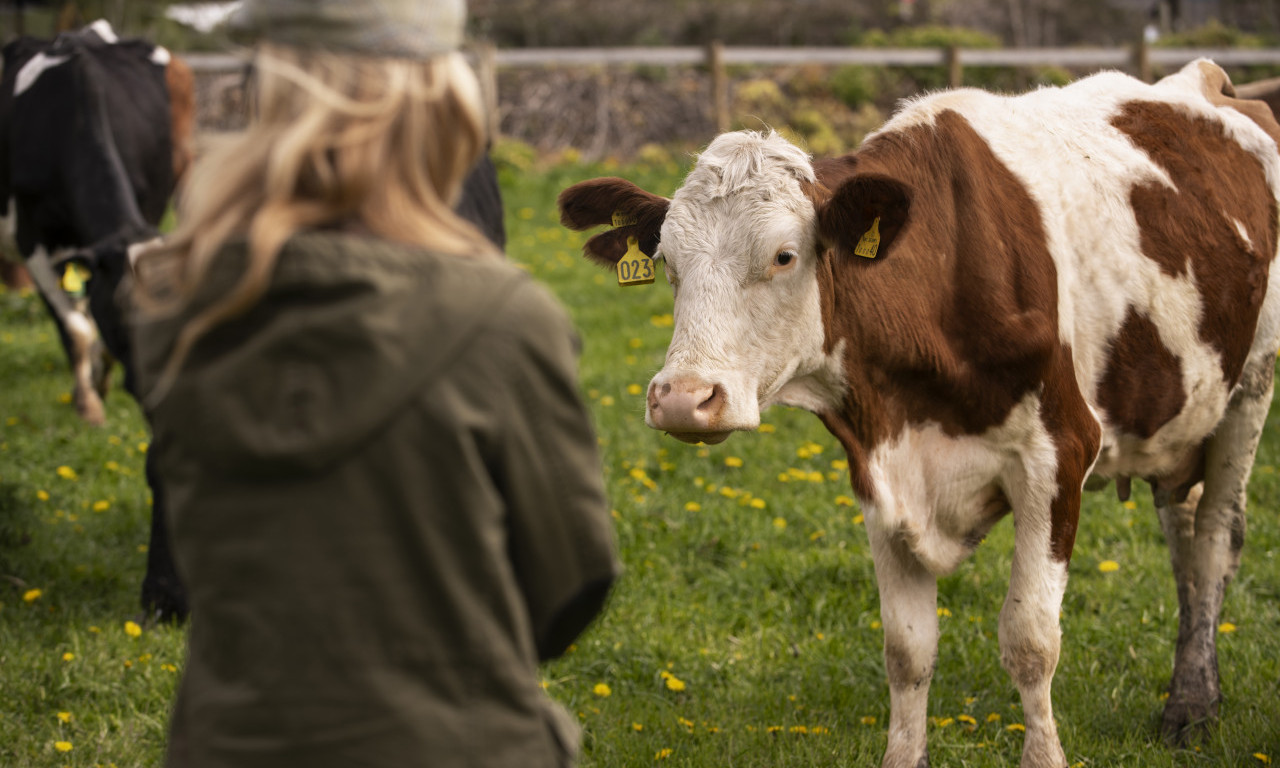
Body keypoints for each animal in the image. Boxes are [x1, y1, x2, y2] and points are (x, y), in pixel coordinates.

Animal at [565, 61, 1280, 768]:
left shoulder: (1060, 452)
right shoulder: (879, 466)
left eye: (783, 256)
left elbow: (1031, 639)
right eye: (666, 262)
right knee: (1183, 537)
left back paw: (1191, 708)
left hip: (1250, 389)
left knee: (1214, 541)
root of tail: (1210, 79)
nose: (683, 398)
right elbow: (907, 650)